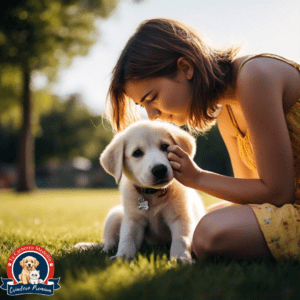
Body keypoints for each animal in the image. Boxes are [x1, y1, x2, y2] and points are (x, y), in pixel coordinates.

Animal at [75, 120, 206, 262]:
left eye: (165, 146)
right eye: (137, 153)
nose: (159, 170)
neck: (154, 194)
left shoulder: (181, 218)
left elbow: (181, 239)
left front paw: (180, 258)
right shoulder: (133, 220)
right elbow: (127, 239)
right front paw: (122, 256)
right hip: (115, 215)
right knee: (109, 243)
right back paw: (100, 249)